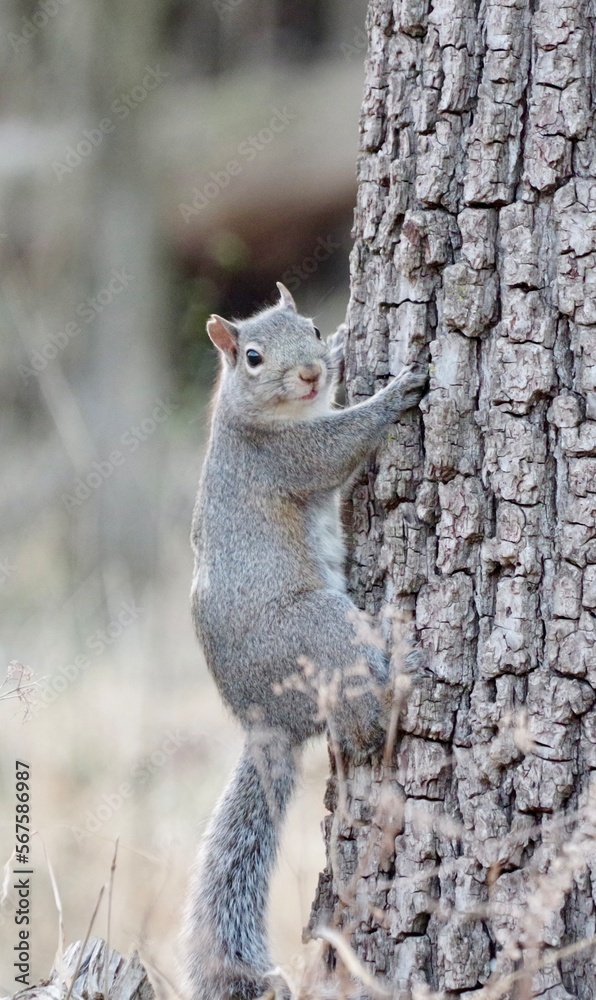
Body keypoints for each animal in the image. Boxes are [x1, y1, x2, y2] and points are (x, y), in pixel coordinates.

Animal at [182, 282, 428, 1000]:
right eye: (253, 357)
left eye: (312, 328)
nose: (314, 373)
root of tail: (263, 717)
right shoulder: (283, 456)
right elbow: (335, 448)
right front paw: (393, 395)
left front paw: (347, 344)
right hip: (320, 629)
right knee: (362, 727)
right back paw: (395, 688)